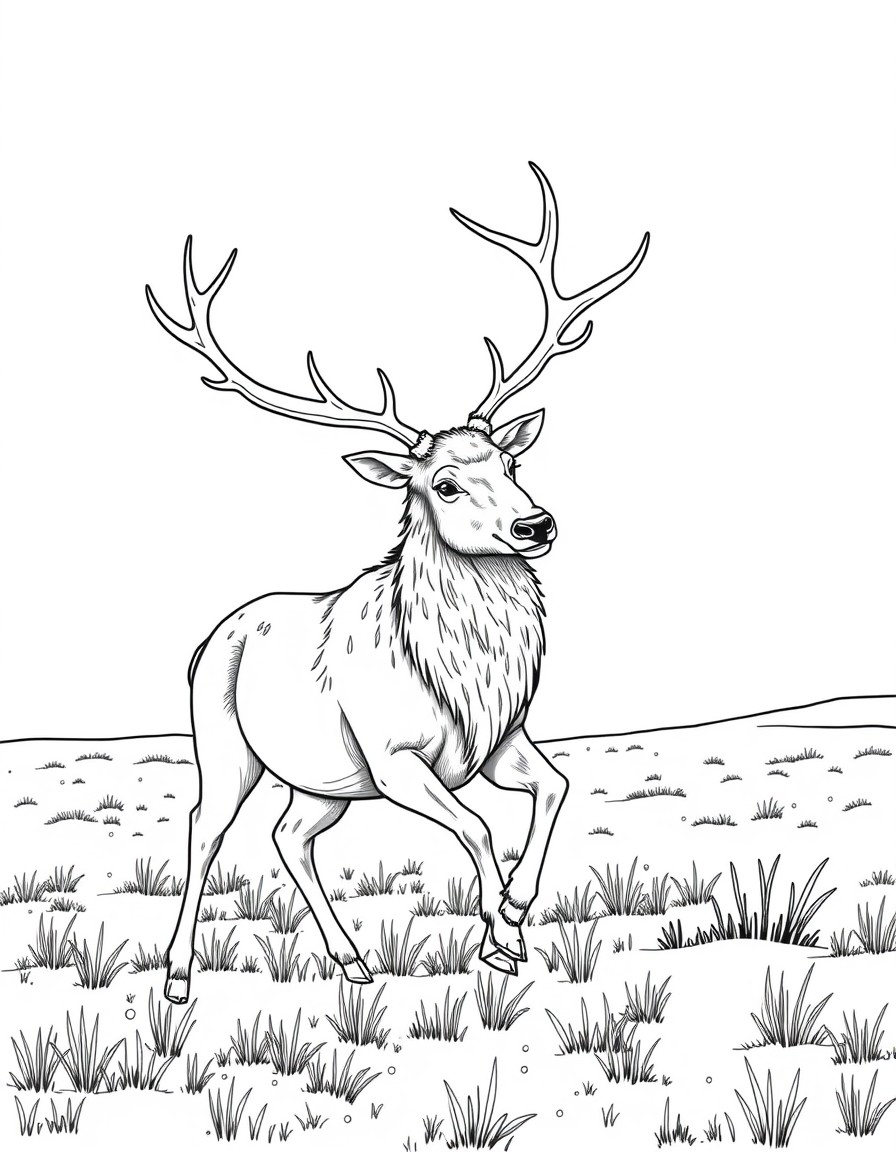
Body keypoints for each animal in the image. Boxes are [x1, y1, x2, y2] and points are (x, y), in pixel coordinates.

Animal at [146, 163, 648, 1003]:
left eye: (509, 462)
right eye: (443, 483)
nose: (536, 525)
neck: (461, 675)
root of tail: (208, 639)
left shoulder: (500, 741)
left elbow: (556, 787)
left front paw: (515, 912)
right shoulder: (392, 757)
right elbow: (477, 824)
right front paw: (501, 932)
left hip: (323, 782)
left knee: (288, 834)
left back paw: (351, 959)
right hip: (223, 743)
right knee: (204, 827)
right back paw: (180, 977)